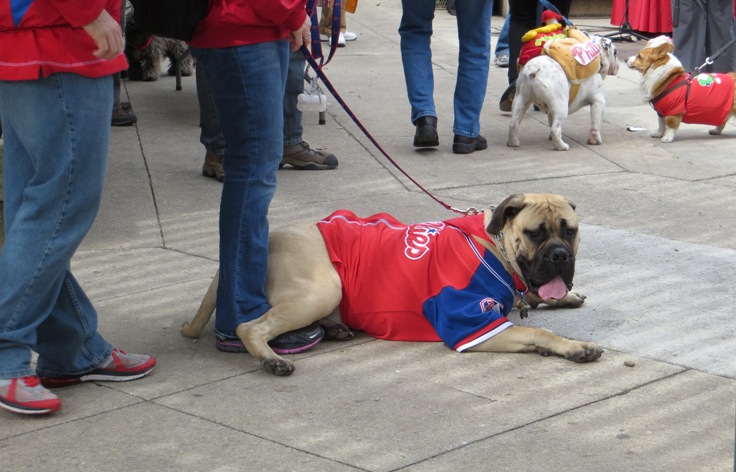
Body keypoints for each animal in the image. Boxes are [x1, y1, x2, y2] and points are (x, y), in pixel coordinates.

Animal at [181, 193, 600, 376]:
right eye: (535, 233)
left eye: (570, 231)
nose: (560, 255)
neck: (492, 246)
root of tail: (268, 238)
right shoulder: (474, 323)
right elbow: (539, 332)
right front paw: (573, 346)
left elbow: (532, 299)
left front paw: (563, 296)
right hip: (323, 288)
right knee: (250, 326)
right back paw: (271, 358)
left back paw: (334, 328)